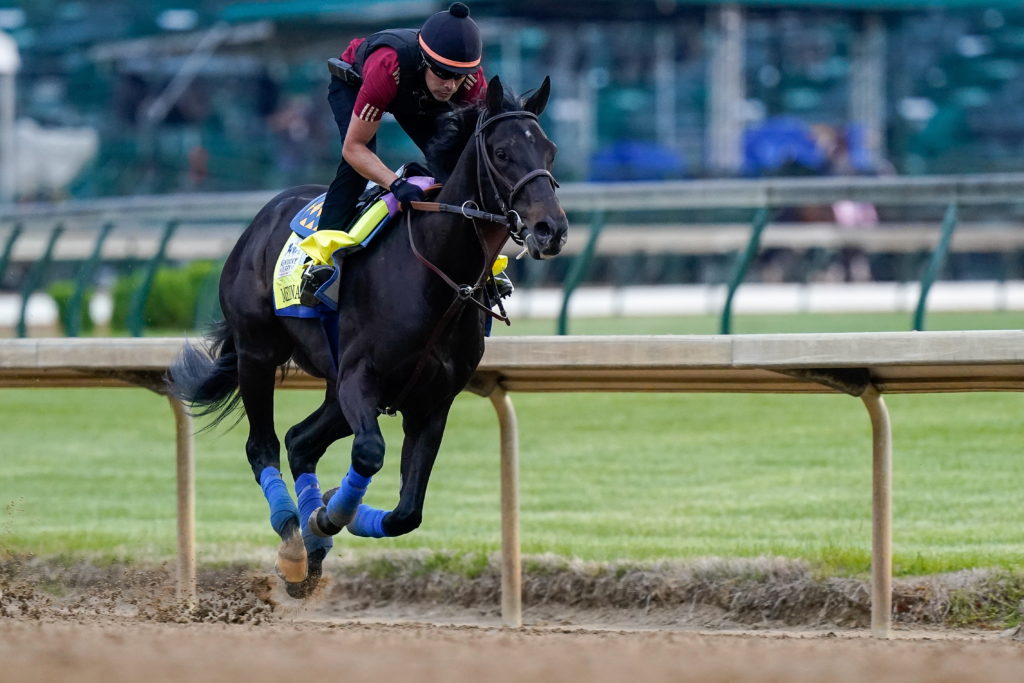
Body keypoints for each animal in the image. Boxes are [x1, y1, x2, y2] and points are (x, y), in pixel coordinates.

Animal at [165, 76, 569, 598]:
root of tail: (262, 217)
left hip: (334, 390)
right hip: (258, 353)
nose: (550, 229)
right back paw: (293, 539)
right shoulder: (362, 379)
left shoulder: (432, 401)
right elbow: (370, 452)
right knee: (264, 445)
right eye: (501, 152)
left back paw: (311, 543)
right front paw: (328, 515)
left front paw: (335, 513)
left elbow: (406, 512)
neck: (437, 274)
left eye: (550, 151)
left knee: (300, 441)